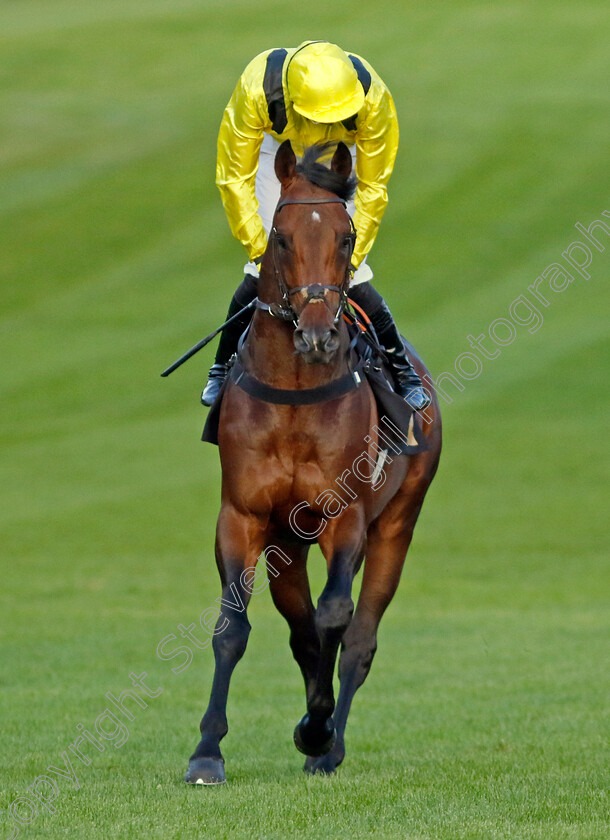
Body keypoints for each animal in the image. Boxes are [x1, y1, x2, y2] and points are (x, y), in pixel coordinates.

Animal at [183, 143, 440, 780]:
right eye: (281, 238)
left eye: (347, 238)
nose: (319, 334)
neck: (295, 392)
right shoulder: (243, 516)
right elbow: (233, 628)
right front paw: (207, 751)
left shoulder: (344, 516)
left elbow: (335, 616)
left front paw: (319, 729)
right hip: (286, 543)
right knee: (301, 631)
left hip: (398, 522)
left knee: (358, 639)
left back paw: (329, 743)